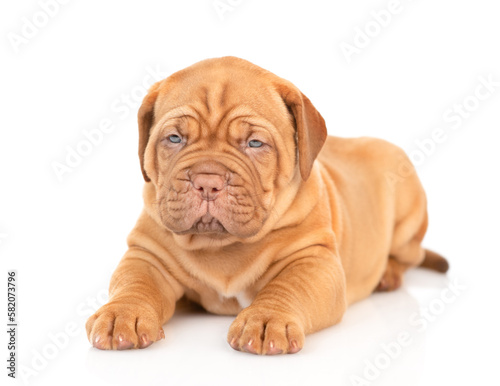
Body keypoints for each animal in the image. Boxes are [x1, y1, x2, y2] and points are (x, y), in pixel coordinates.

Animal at [84, 55, 448, 354]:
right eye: (174, 138)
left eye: (255, 143)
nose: (207, 180)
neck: (222, 246)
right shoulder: (148, 254)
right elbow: (135, 282)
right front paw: (122, 314)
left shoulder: (314, 260)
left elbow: (288, 287)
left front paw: (266, 320)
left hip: (408, 214)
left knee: (408, 255)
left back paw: (388, 273)